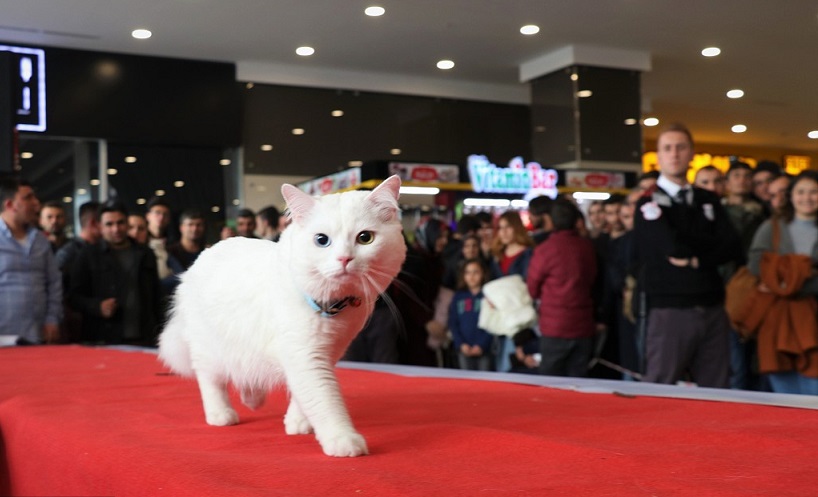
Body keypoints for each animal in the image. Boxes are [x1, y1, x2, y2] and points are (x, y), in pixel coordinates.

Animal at [157, 175, 404, 458]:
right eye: (322, 240)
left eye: (365, 238)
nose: (345, 259)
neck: (332, 306)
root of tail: (197, 262)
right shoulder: (305, 356)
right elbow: (325, 400)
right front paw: (342, 439)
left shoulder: (327, 353)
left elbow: (303, 396)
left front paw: (298, 423)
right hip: (209, 349)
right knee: (211, 381)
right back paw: (221, 414)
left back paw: (253, 399)